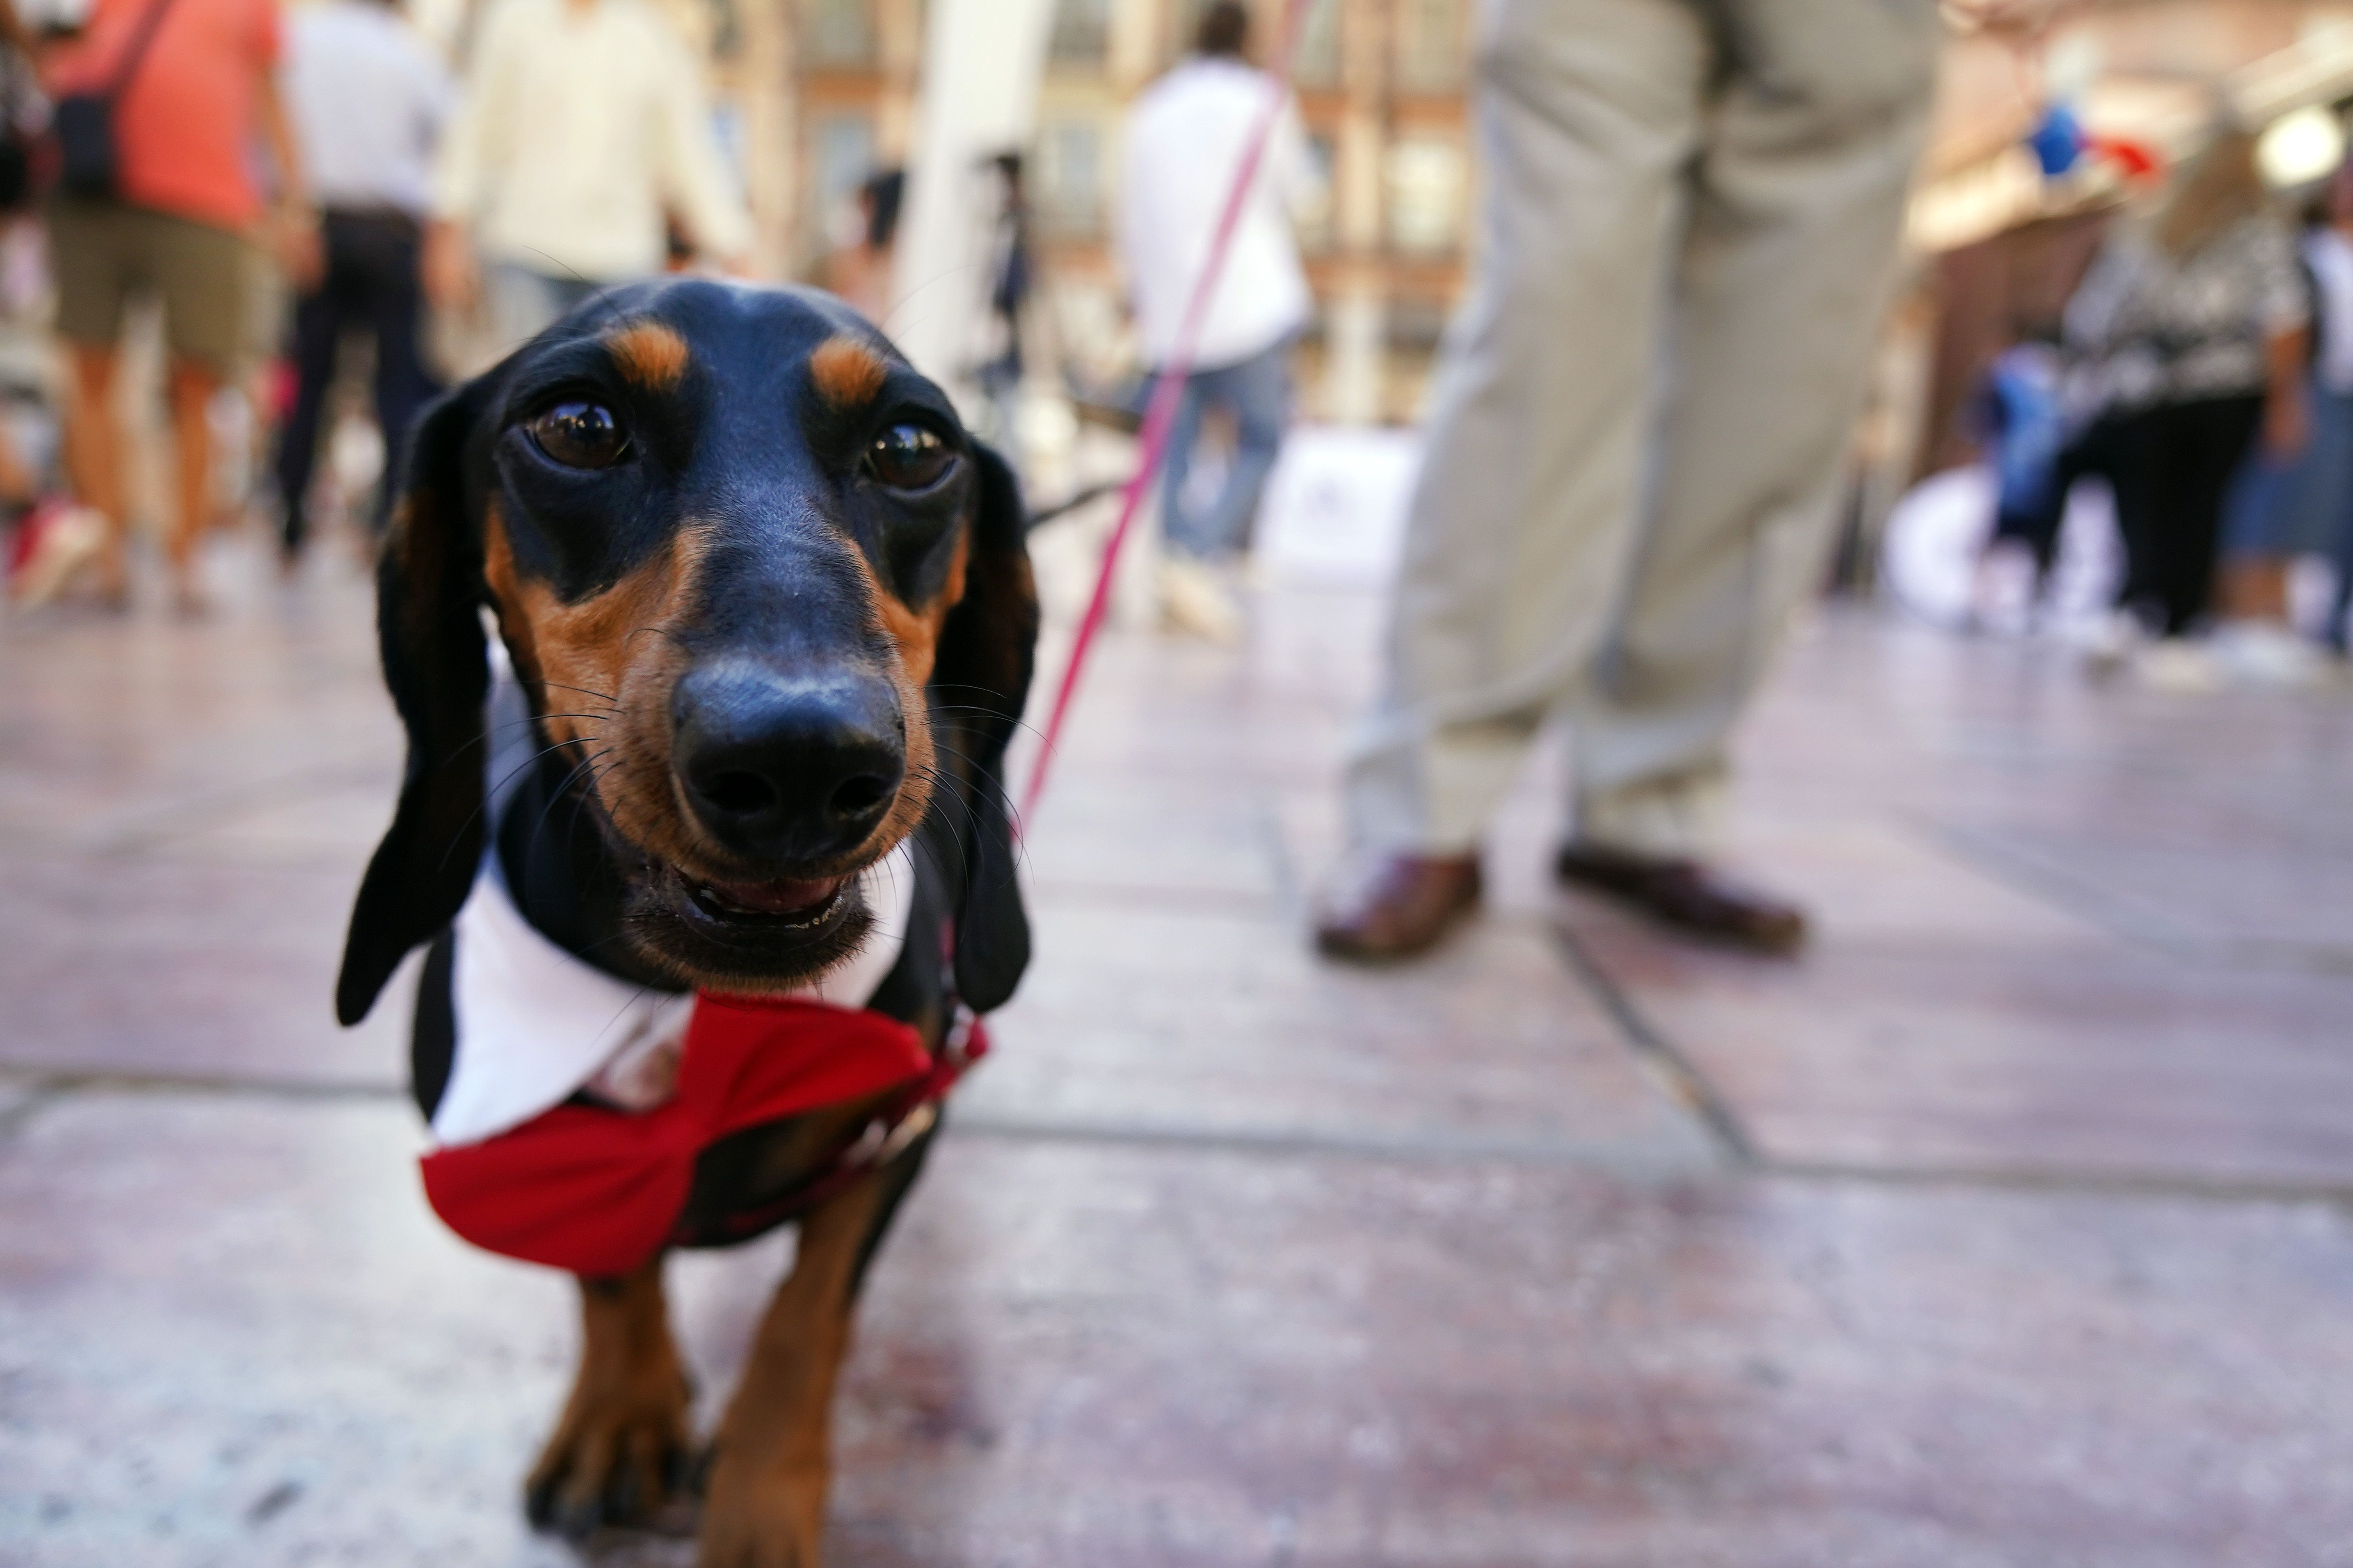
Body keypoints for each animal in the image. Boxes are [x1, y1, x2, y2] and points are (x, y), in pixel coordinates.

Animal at [336, 274, 1035, 1554]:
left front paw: (759, 1497)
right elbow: (614, 1271)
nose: (805, 759)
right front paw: (621, 1414)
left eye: (915, 446)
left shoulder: (895, 1132)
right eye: (576, 424)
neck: (695, 1004)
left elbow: (808, 1313)